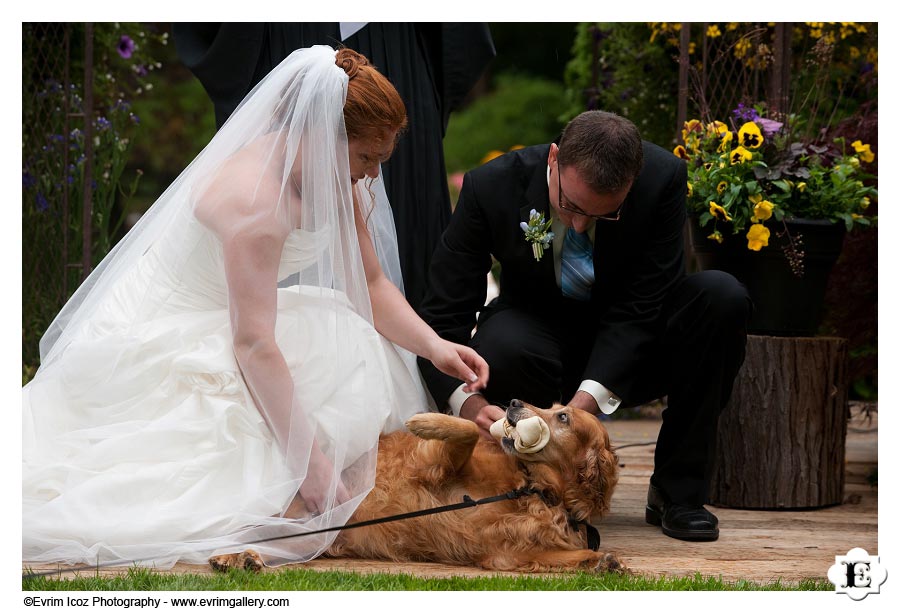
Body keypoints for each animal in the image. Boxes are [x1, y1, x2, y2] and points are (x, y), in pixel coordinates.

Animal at [211, 400, 624, 572]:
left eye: (563, 417)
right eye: (552, 406)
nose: (512, 402)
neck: (536, 488)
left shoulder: (508, 554)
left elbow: (571, 556)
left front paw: (603, 561)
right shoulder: (434, 467)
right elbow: (466, 429)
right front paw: (426, 420)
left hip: (310, 538)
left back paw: (246, 559)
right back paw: (232, 556)